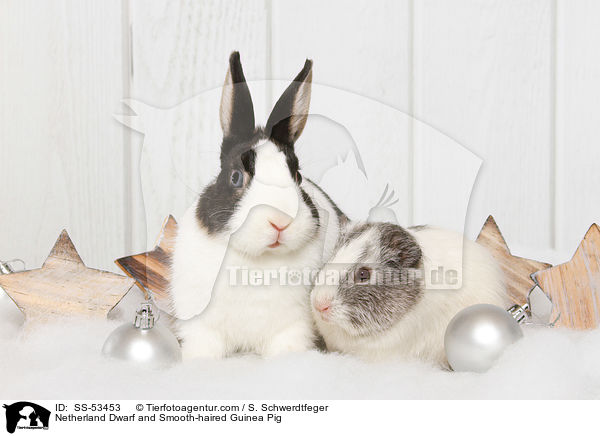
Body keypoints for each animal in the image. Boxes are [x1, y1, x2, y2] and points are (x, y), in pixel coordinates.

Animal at [169, 52, 346, 360]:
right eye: (236, 177)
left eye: (297, 176)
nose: (280, 221)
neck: (257, 260)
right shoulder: (200, 323)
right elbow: (204, 347)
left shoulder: (294, 327)